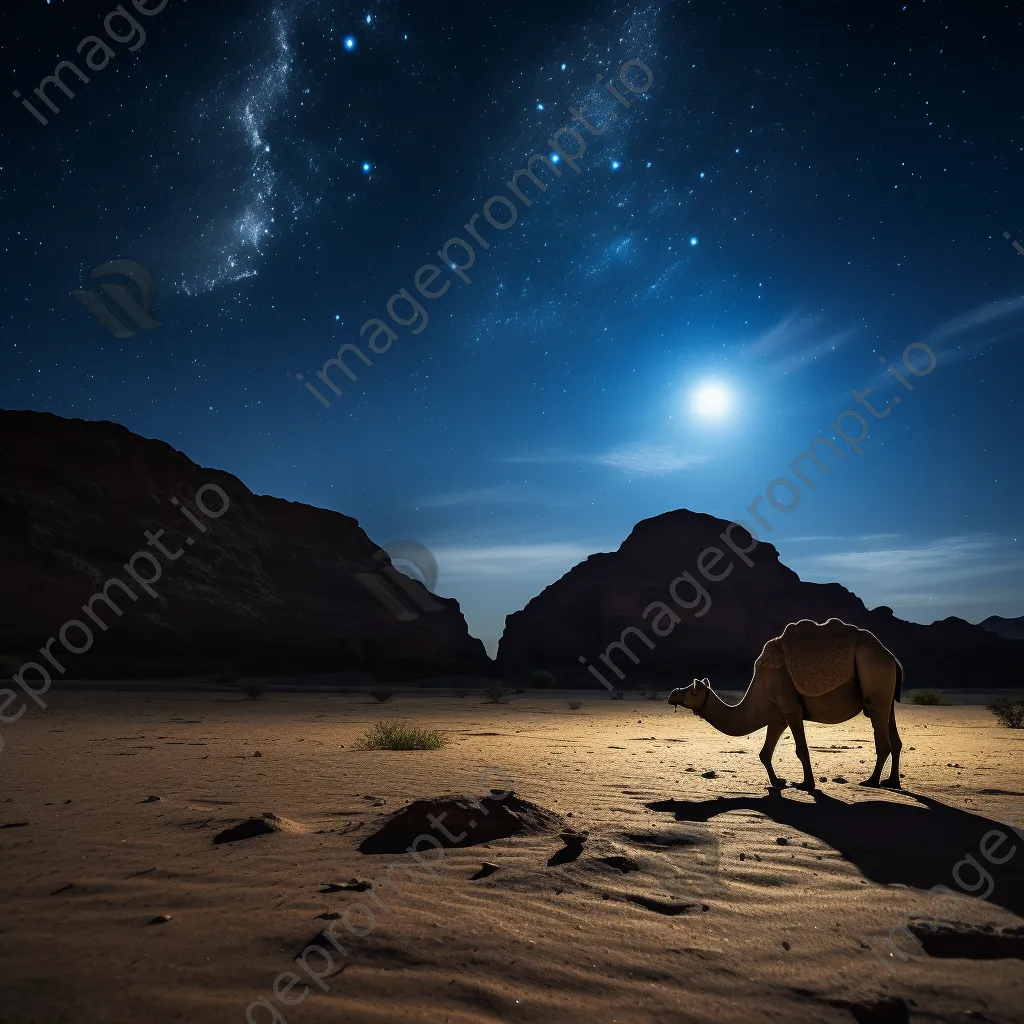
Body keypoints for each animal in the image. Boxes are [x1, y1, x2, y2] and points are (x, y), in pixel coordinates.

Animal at [671, 614, 905, 790]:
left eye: (692, 691)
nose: (673, 693)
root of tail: (893, 659)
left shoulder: (790, 707)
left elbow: (801, 749)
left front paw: (806, 784)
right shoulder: (777, 717)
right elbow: (765, 753)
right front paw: (778, 782)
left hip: (873, 672)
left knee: (881, 732)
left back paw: (872, 781)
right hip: (887, 692)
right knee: (894, 736)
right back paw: (892, 781)